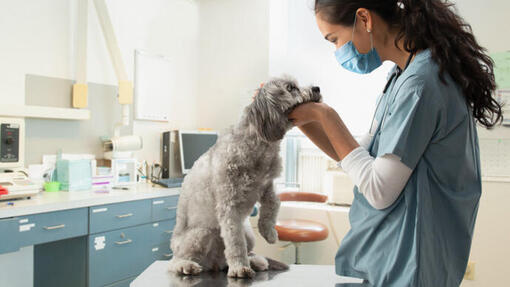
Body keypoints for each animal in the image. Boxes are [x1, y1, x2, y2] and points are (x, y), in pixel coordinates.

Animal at [170, 76, 322, 280]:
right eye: (291, 88)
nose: (317, 88)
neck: (259, 145)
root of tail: (215, 263)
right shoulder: (229, 207)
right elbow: (235, 243)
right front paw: (240, 268)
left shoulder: (266, 186)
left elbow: (274, 204)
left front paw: (269, 232)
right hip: (201, 234)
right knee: (176, 261)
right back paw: (187, 265)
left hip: (248, 234)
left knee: (236, 254)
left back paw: (255, 261)